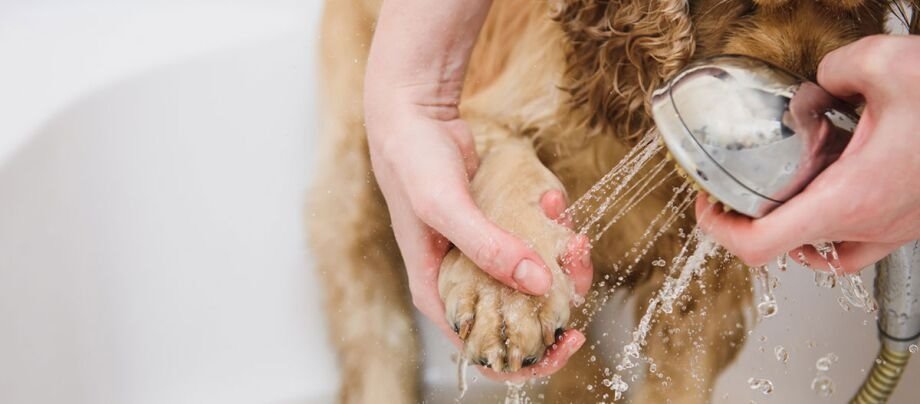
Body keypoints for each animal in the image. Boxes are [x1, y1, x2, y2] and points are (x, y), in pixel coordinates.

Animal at [308, 1, 912, 402]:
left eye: (864, 6)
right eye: (740, 2)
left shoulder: (704, 283)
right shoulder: (487, 115)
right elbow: (507, 171)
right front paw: (505, 301)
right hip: (352, 172)